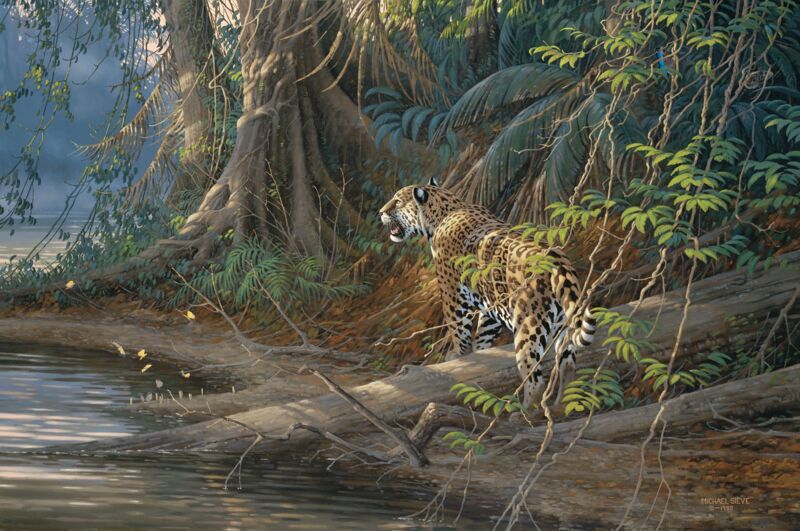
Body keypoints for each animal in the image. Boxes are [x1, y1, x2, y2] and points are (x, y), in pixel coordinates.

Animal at [379, 177, 596, 410]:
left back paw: (524, 412)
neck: (445, 211)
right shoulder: (490, 304)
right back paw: (560, 408)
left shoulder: (453, 295)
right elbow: (483, 334)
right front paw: (479, 355)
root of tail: (557, 262)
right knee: (567, 366)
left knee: (534, 378)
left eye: (397, 201)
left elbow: (459, 332)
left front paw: (457, 356)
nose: (381, 212)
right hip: (563, 325)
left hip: (527, 327)